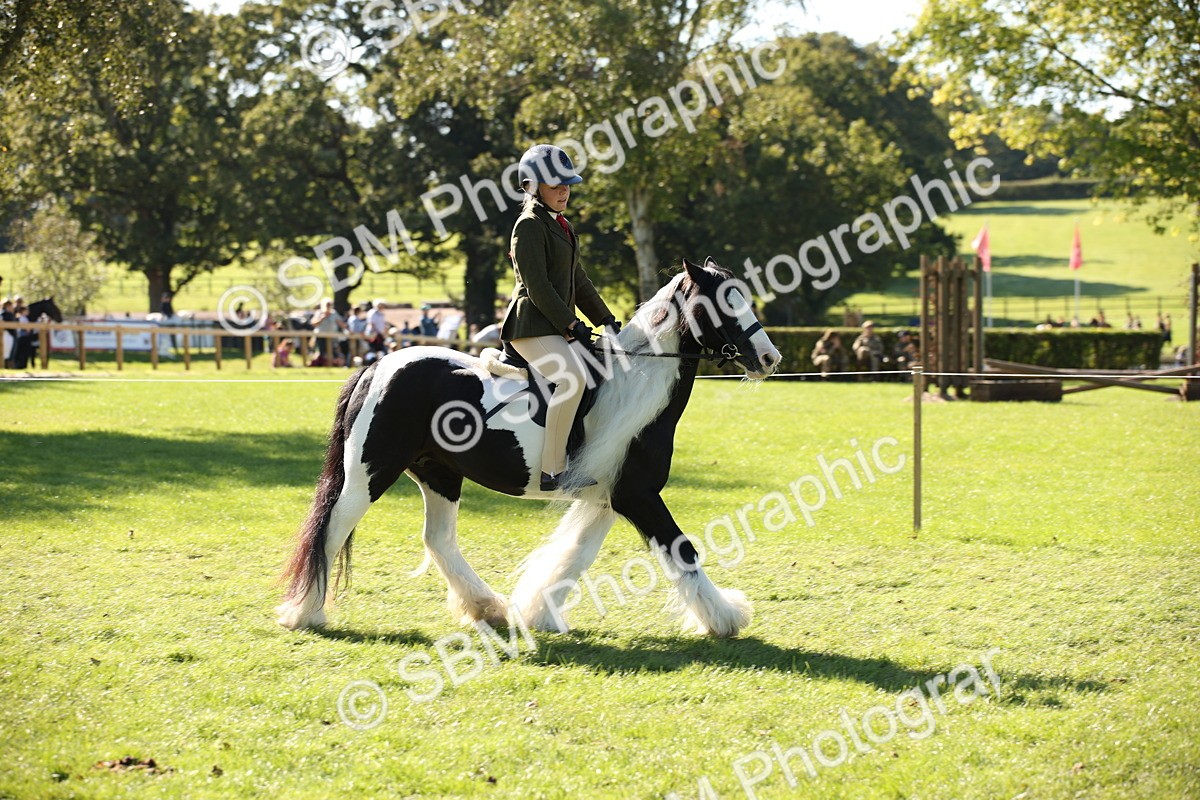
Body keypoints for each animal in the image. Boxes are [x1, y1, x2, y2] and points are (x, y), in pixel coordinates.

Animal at [277, 258, 781, 638]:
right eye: (724, 302)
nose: (770, 359)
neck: (636, 386)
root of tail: (377, 365)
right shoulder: (637, 496)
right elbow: (683, 550)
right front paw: (724, 618)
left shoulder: (608, 497)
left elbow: (575, 554)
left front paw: (540, 611)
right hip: (370, 473)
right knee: (333, 527)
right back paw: (306, 613)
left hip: (440, 473)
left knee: (438, 540)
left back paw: (488, 608)